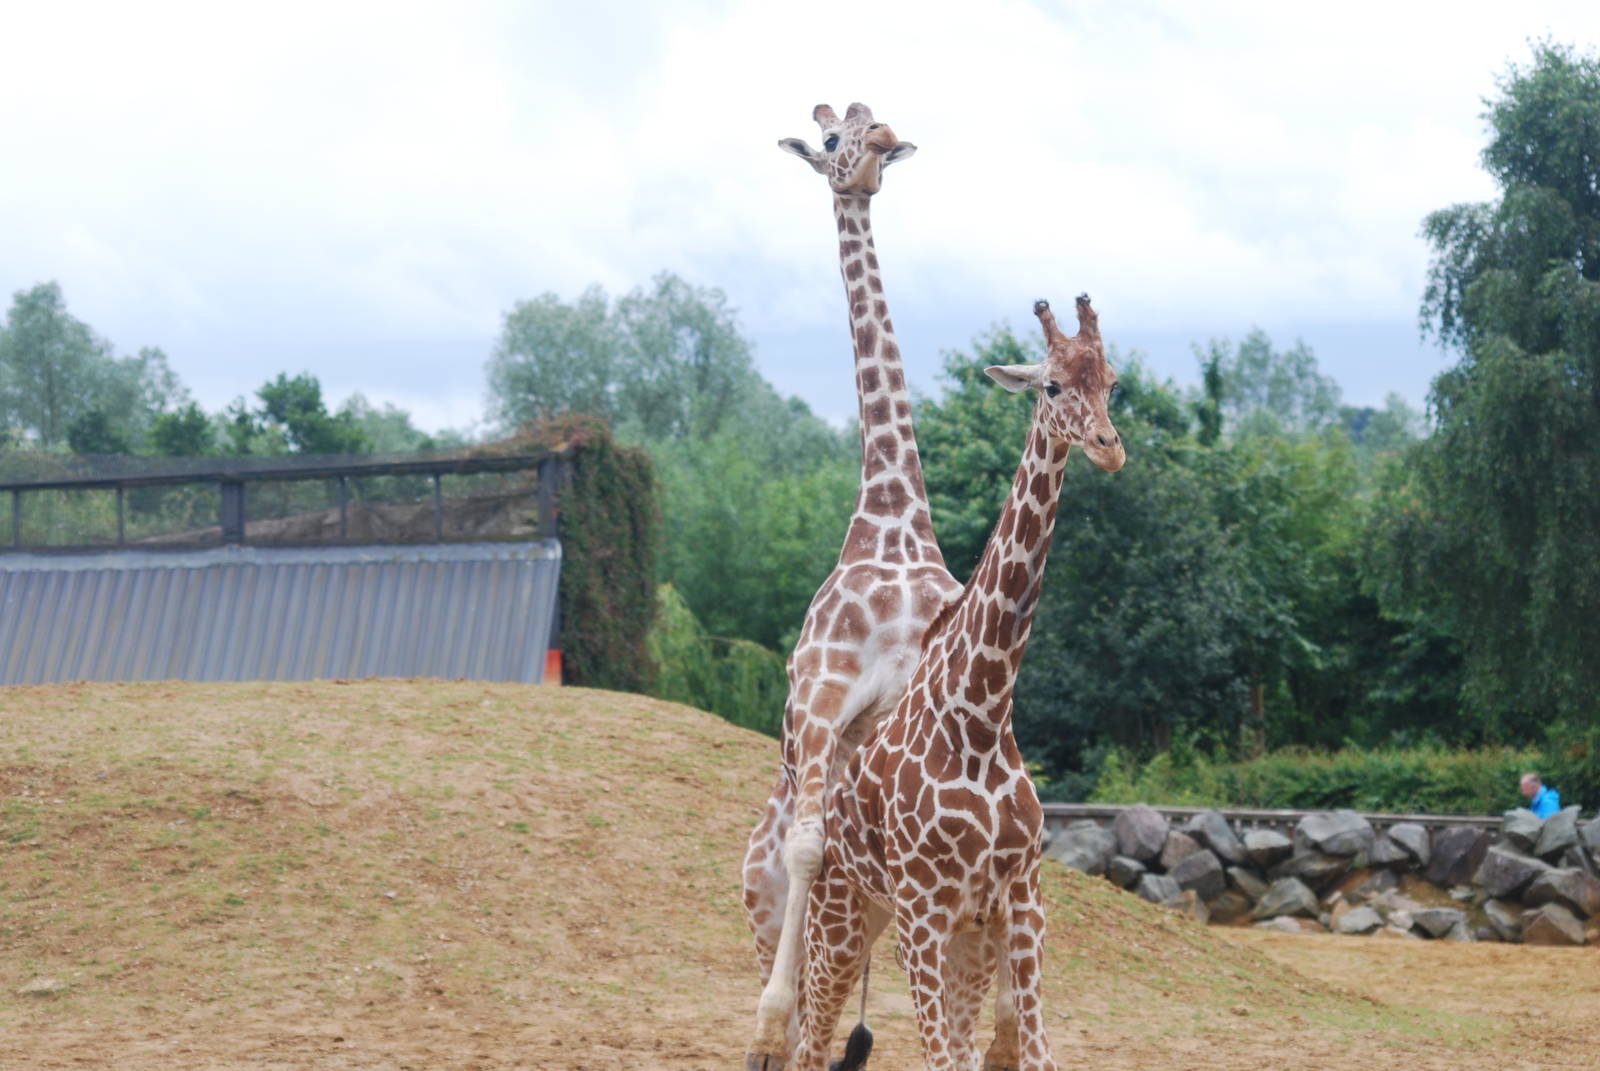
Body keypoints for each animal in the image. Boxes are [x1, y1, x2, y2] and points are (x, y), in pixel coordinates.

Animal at [794, 296, 1124, 1071]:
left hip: (949, 938)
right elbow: (941, 1058)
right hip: (845, 918)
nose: (1108, 446)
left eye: (1113, 382)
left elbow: (1031, 1056)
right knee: (807, 1037)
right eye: (1051, 386)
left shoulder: (1019, 906)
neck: (980, 711)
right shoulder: (925, 913)